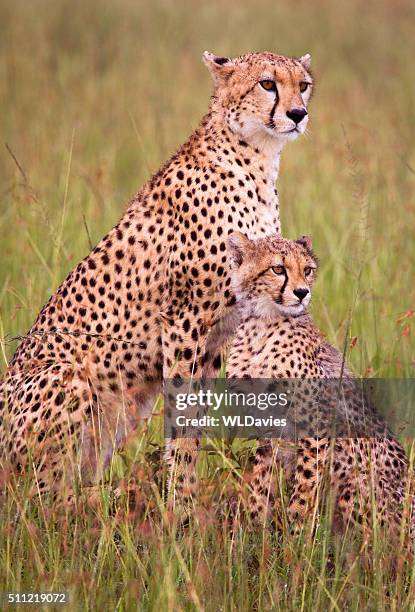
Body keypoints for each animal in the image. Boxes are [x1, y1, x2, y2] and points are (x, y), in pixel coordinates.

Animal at [0, 49, 314, 498]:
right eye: (267, 84)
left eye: (303, 85)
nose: (297, 113)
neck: (256, 160)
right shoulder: (184, 319)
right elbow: (181, 417)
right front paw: (179, 503)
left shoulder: (219, 335)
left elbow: (196, 420)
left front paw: (185, 499)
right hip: (67, 377)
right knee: (39, 494)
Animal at [204, 234, 412, 540]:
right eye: (278, 269)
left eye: (308, 270)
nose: (302, 292)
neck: (261, 327)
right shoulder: (266, 427)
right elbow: (259, 482)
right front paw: (253, 532)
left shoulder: (316, 426)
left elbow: (304, 487)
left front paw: (296, 537)